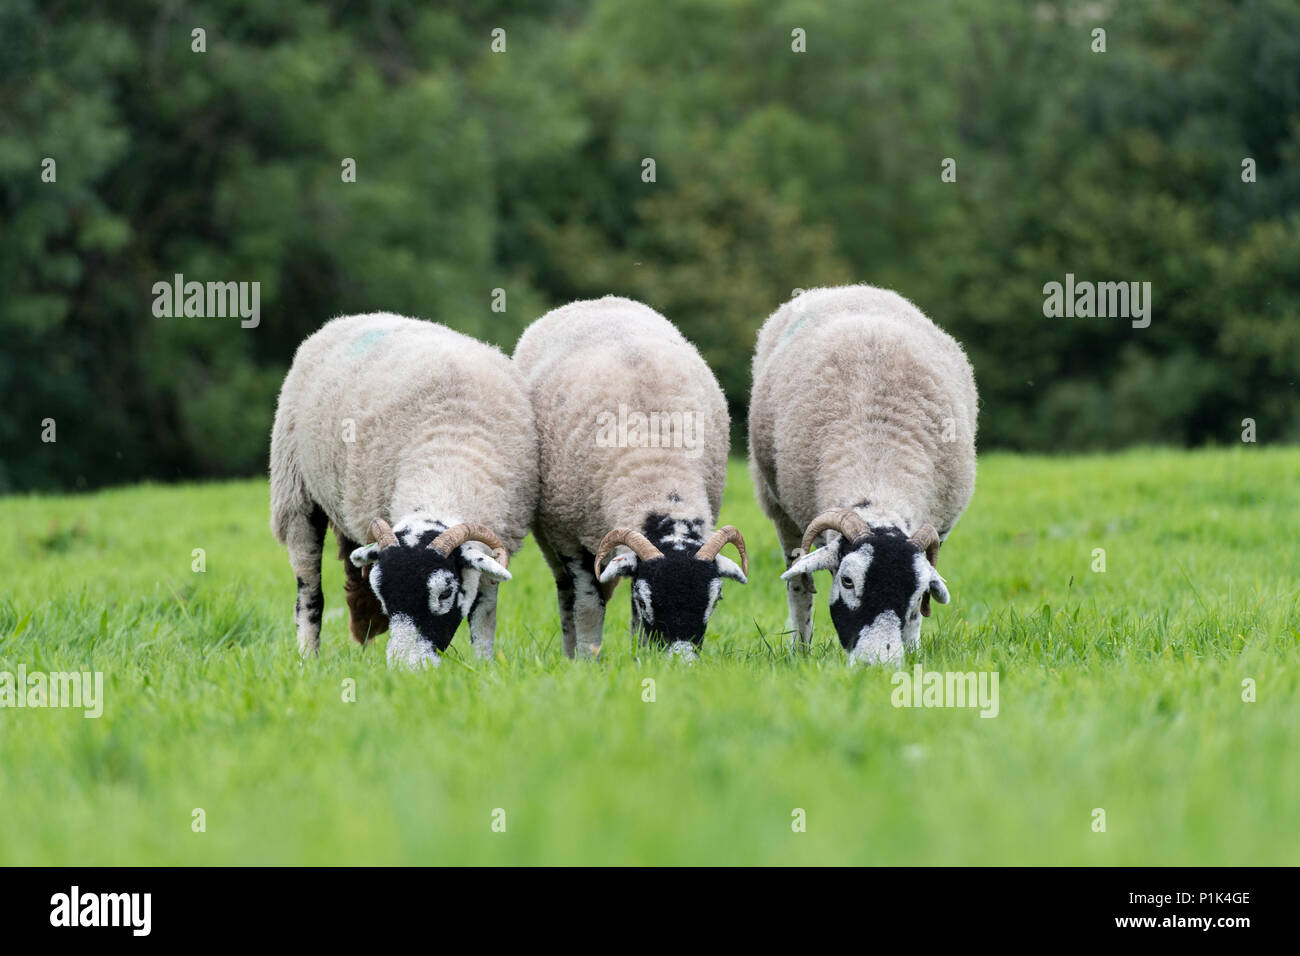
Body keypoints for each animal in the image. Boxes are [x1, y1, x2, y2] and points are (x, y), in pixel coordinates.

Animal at [269, 310, 538, 671]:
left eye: (444, 593)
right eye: (384, 594)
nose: (406, 671)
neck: (447, 461)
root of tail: (350, 317)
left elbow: (484, 616)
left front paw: (484, 665)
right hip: (296, 495)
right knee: (309, 592)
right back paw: (307, 658)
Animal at [509, 295, 748, 660]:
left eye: (715, 600)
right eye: (647, 600)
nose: (681, 663)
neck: (657, 465)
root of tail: (597, 300)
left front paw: (642, 658)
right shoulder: (569, 538)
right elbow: (587, 606)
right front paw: (586, 661)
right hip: (552, 537)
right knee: (567, 596)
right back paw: (571, 652)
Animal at [748, 283, 972, 665]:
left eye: (916, 591)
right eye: (848, 582)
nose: (877, 664)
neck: (877, 472)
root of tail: (846, 288)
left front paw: (913, 651)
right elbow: (800, 587)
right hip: (780, 510)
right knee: (797, 587)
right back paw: (800, 648)